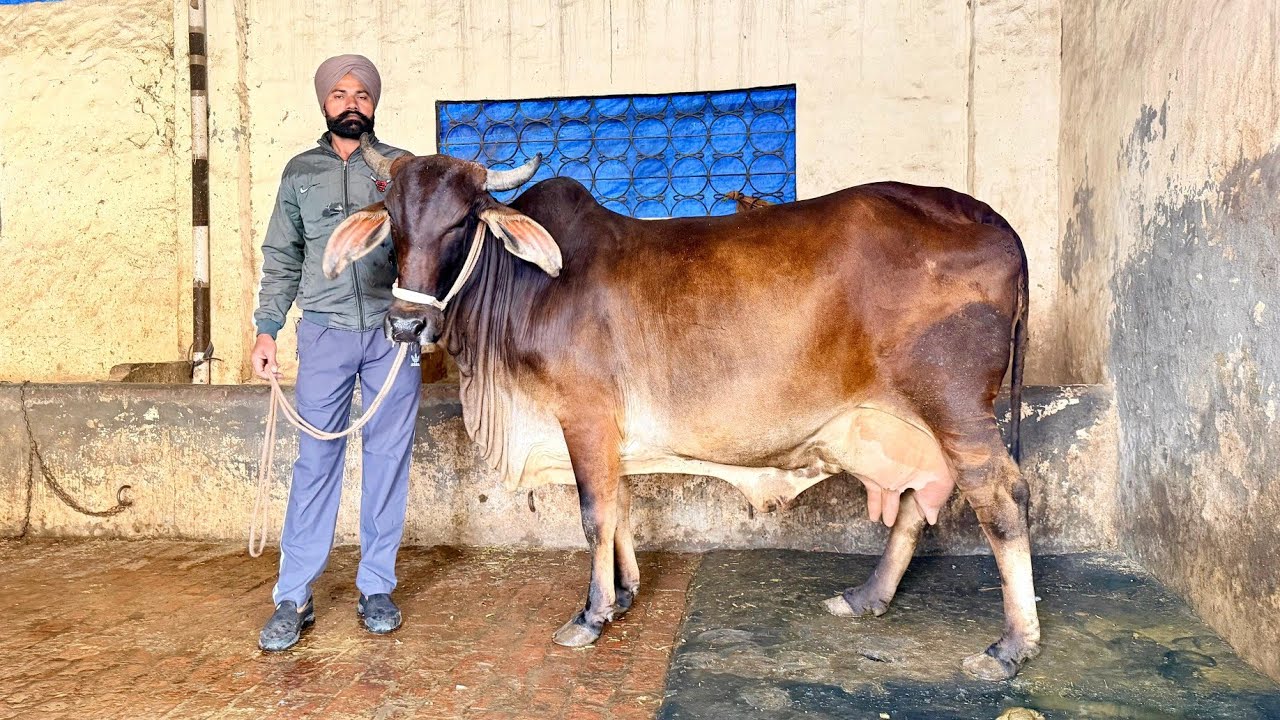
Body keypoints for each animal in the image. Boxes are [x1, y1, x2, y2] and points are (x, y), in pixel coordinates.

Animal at [323, 135, 1037, 681]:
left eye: (464, 220)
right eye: (394, 223)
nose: (406, 326)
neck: (526, 287)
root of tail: (989, 216)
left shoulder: (584, 416)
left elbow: (594, 515)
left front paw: (591, 615)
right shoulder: (609, 432)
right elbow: (619, 508)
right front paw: (625, 594)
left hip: (956, 406)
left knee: (1000, 498)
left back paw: (1010, 646)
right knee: (921, 495)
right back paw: (866, 598)